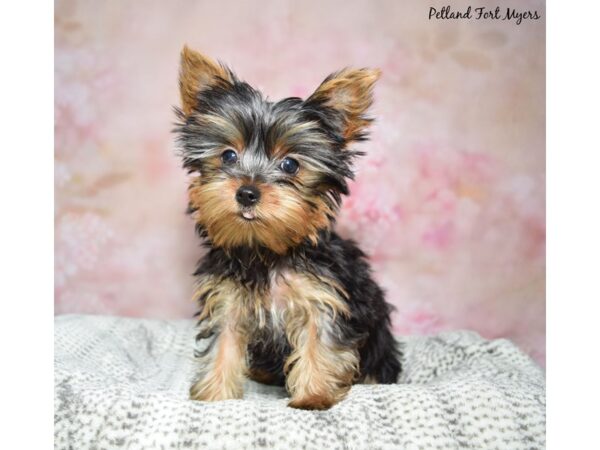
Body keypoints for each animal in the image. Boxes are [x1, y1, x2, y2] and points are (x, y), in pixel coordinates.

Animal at [173, 46, 400, 412]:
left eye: (290, 164)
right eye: (228, 156)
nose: (247, 192)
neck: (266, 251)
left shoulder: (323, 298)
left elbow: (319, 343)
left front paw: (313, 396)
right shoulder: (228, 301)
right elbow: (224, 342)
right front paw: (215, 394)